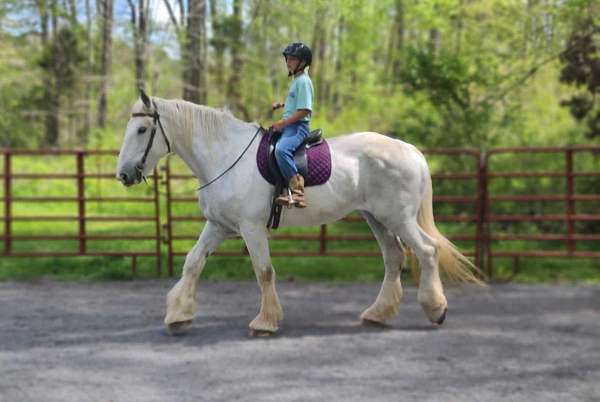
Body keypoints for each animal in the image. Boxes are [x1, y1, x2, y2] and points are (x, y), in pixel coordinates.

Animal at [116, 92, 482, 336]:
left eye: (141, 130)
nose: (123, 175)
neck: (226, 156)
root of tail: (411, 151)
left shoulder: (251, 228)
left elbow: (264, 272)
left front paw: (265, 322)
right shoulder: (218, 226)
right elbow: (193, 263)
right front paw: (178, 316)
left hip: (399, 219)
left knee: (427, 251)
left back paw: (436, 310)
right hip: (376, 218)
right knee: (394, 258)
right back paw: (378, 314)